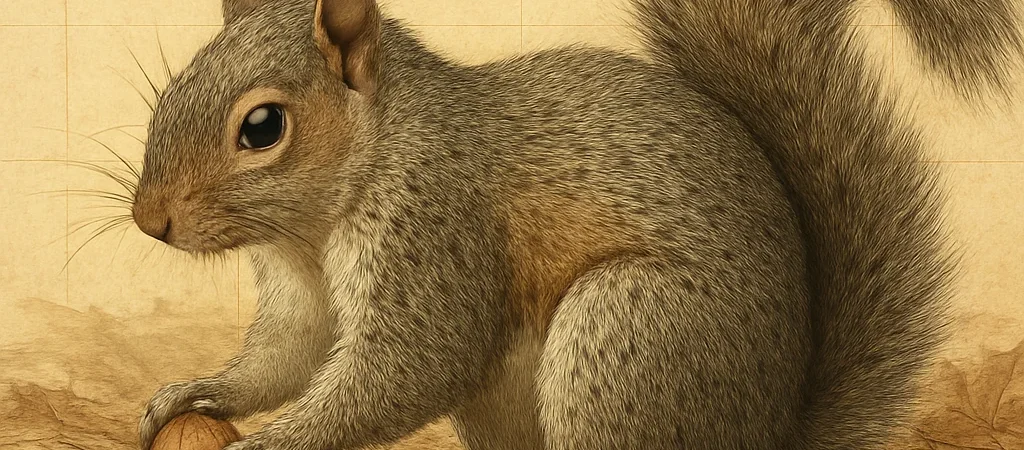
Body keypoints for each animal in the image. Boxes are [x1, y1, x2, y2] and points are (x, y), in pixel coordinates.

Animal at [130, 0, 1022, 449]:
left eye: (262, 127)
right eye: (172, 88)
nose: (149, 221)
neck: (315, 228)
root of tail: (767, 431)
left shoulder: (437, 226)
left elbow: (405, 368)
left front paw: (267, 444)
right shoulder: (302, 286)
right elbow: (287, 355)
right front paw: (195, 393)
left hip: (628, 334)